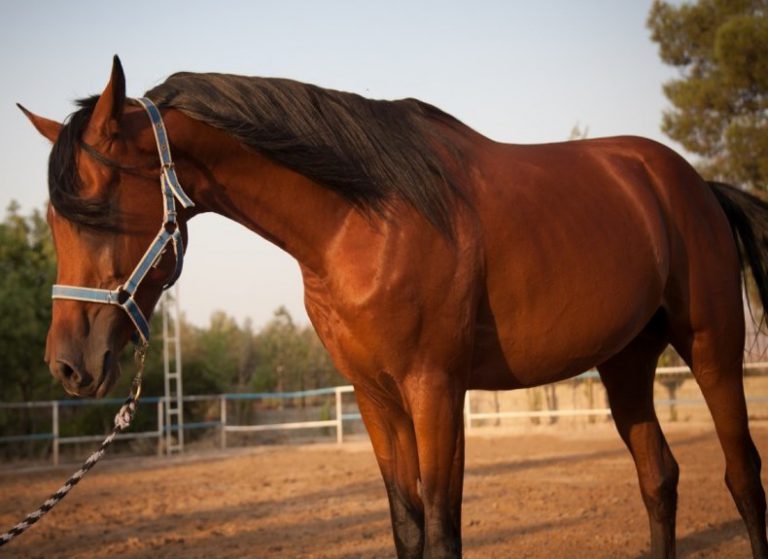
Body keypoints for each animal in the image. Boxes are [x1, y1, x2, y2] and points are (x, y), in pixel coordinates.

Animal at [18, 58, 768, 559]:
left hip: (712, 350)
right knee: (659, 478)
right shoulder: (375, 395)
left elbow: (441, 529)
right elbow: (407, 526)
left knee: (742, 476)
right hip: (625, 363)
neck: (364, 217)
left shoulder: (435, 388)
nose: (68, 365)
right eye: (53, 218)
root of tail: (693, 184)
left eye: (100, 205)